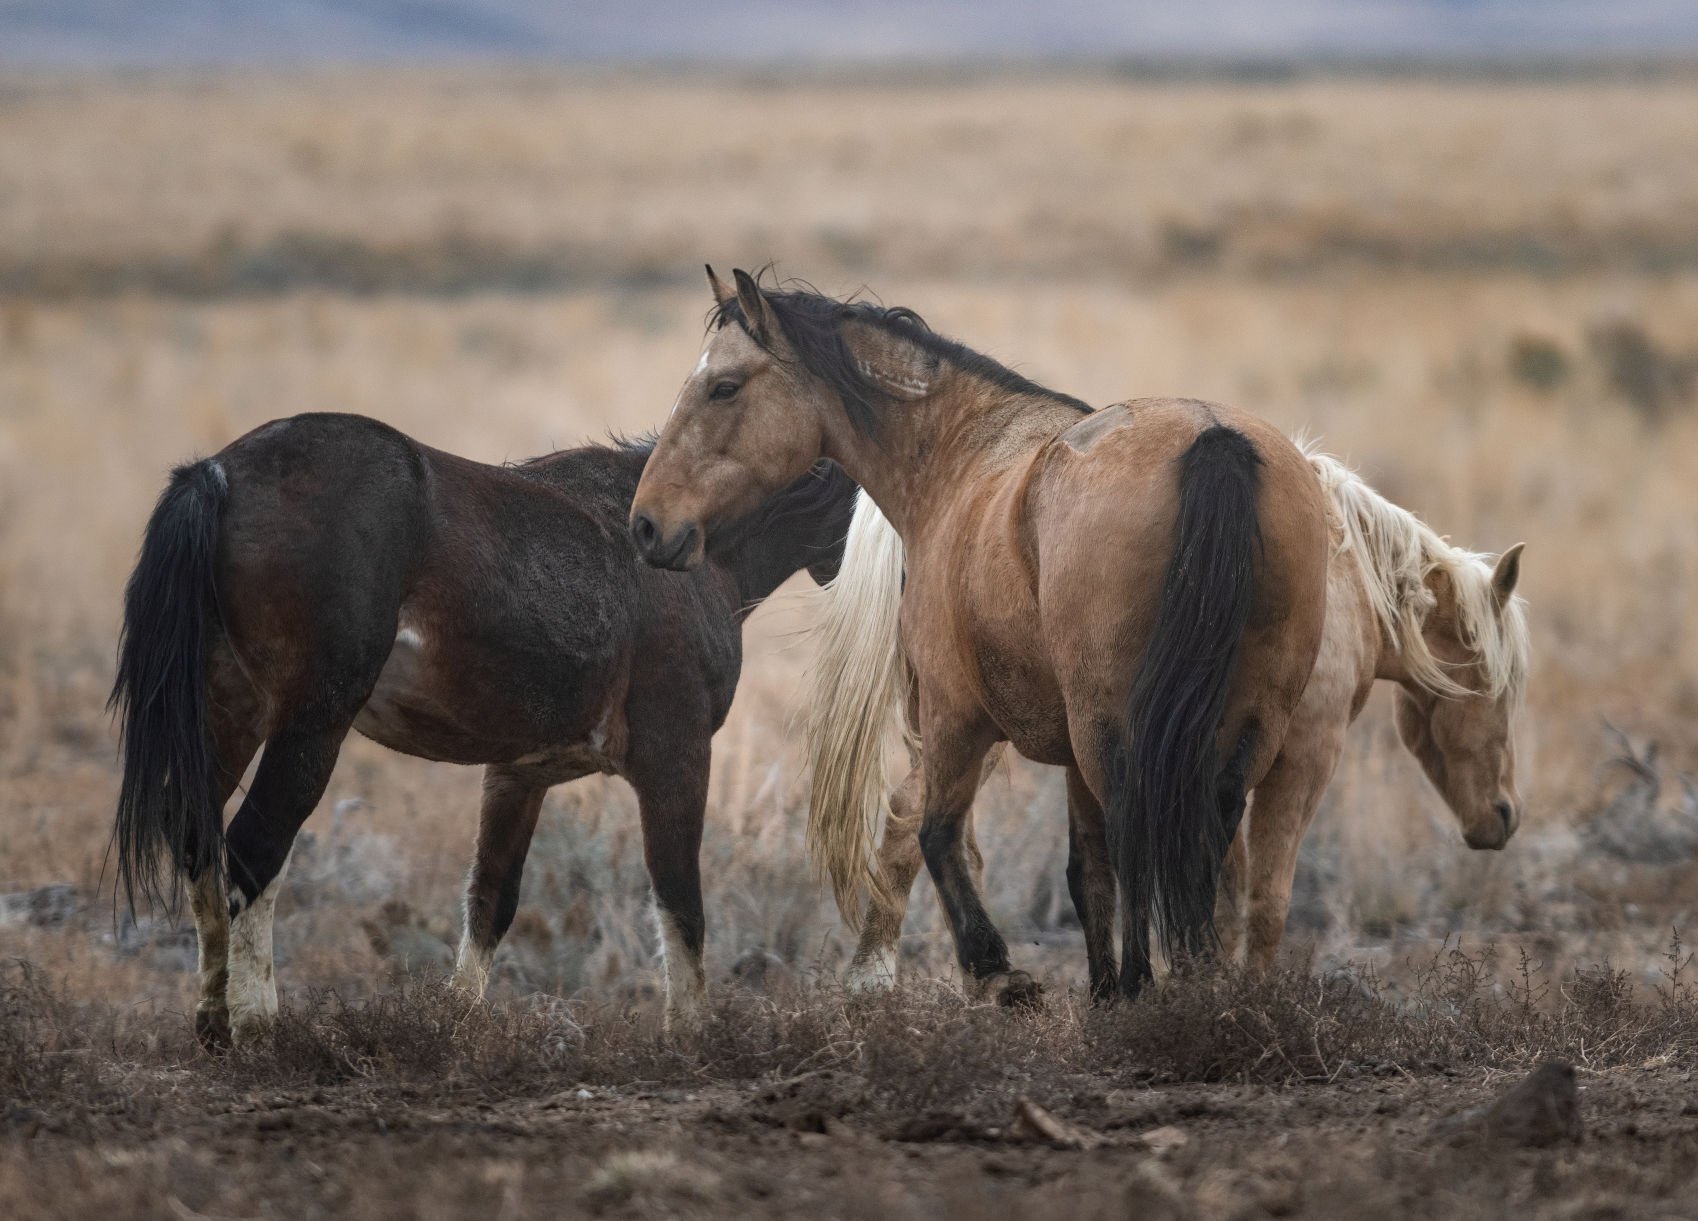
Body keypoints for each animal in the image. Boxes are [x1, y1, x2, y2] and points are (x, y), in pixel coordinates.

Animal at [107, 416, 855, 1046]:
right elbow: (680, 897)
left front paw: (455, 1020)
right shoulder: (678, 758)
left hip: (230, 718)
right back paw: (256, 1021)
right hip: (310, 727)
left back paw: (213, 1018)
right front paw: (692, 1031)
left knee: (199, 842)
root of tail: (219, 473)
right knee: (251, 852)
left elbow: (491, 899)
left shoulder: (519, 773)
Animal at [631, 270, 1331, 1005]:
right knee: (1205, 826)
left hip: (1109, 723)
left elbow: (937, 833)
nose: (647, 523)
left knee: (1136, 829)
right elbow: (1087, 871)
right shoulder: (1069, 752)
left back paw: (1145, 980)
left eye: (724, 386)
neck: (958, 454)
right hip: (1243, 721)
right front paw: (1100, 992)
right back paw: (1193, 972)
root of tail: (1212, 438)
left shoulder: (954, 717)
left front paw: (997, 969)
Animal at [815, 444, 1534, 991]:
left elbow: (1219, 889)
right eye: (1497, 686)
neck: (1345, 576)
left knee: (920, 822)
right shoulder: (1300, 758)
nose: (1503, 816)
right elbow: (1263, 898)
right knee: (921, 822)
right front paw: (1245, 995)